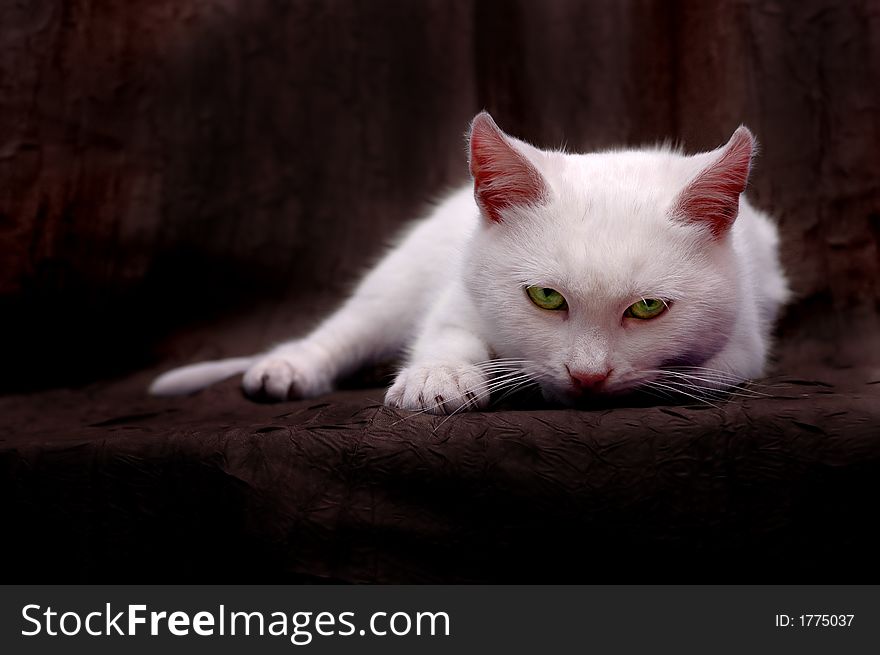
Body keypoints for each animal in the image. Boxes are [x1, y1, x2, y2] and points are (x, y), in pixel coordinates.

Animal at [151, 110, 792, 412]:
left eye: (649, 308)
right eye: (545, 297)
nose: (587, 375)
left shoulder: (743, 345)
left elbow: (698, 376)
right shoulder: (457, 294)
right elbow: (446, 333)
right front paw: (440, 377)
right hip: (394, 286)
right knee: (342, 333)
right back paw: (289, 368)